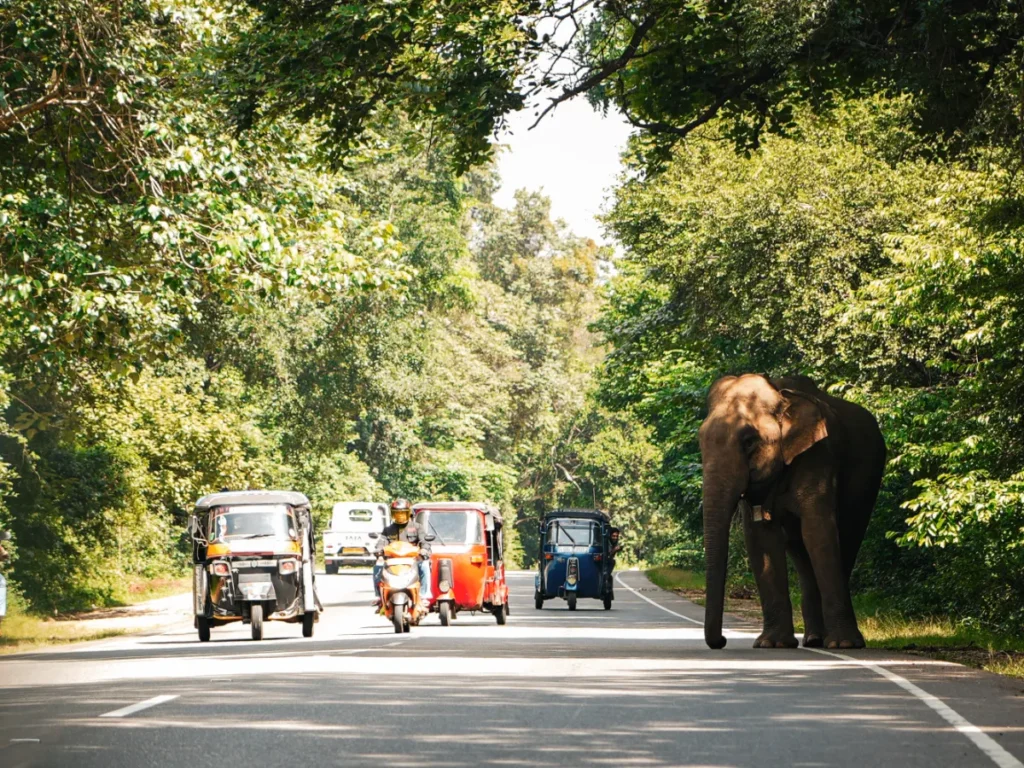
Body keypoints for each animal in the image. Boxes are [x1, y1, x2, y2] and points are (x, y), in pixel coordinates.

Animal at [698, 373, 885, 650]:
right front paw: (772, 644)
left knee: (847, 537)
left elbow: (818, 529)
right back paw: (814, 639)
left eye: (749, 441)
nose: (721, 641)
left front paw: (843, 644)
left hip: (869, 476)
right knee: (800, 550)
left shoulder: (818, 456)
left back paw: (833, 640)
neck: (781, 395)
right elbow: (761, 537)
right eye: (700, 442)